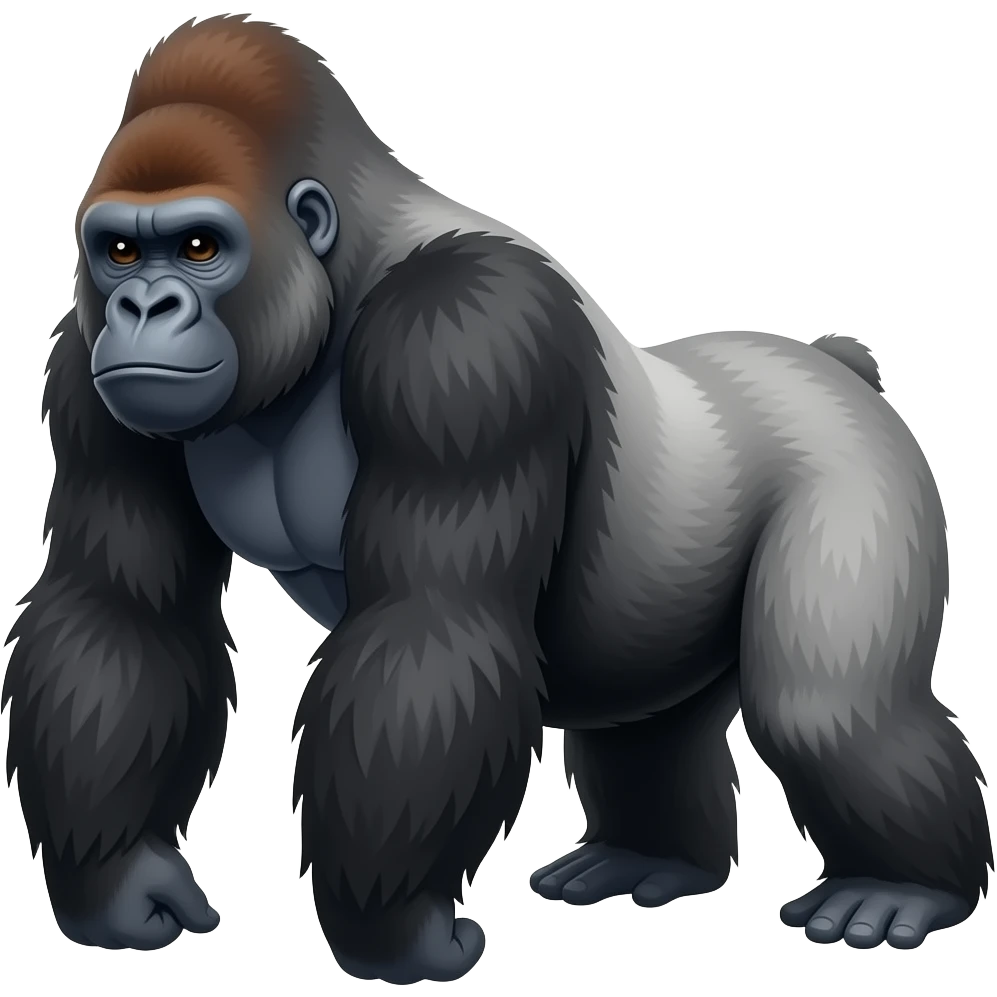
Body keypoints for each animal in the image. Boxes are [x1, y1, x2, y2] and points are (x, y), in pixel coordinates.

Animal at [2, 13, 992, 983]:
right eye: (119, 249)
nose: (143, 308)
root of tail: (828, 360)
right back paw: (650, 856)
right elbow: (122, 610)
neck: (341, 269)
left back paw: (903, 887)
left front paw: (393, 932)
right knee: (653, 727)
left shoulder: (464, 336)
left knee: (825, 710)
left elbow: (431, 625)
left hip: (855, 460)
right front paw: (119, 881)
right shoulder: (83, 368)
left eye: (201, 246)